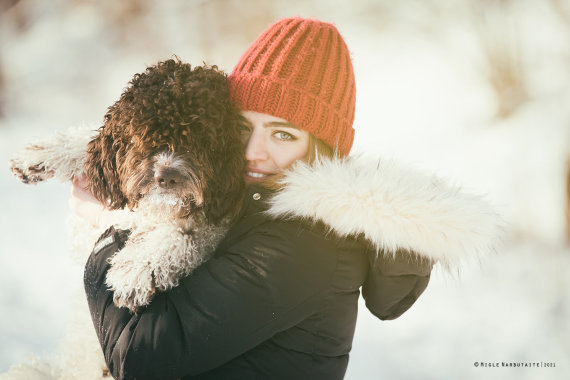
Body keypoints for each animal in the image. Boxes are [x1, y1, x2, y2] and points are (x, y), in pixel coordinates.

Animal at [6, 59, 244, 380]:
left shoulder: (213, 228)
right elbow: (85, 143)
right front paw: (40, 155)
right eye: (142, 137)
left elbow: (182, 237)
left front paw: (138, 269)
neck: (155, 211)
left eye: (200, 140)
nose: (167, 175)